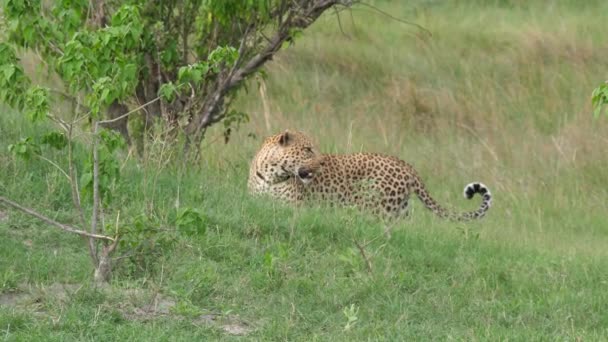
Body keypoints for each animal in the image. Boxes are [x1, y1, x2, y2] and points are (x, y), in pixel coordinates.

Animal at [249, 130, 492, 220]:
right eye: (308, 150)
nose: (323, 162)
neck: (270, 175)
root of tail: (407, 165)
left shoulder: (295, 209)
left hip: (376, 209)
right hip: (399, 211)